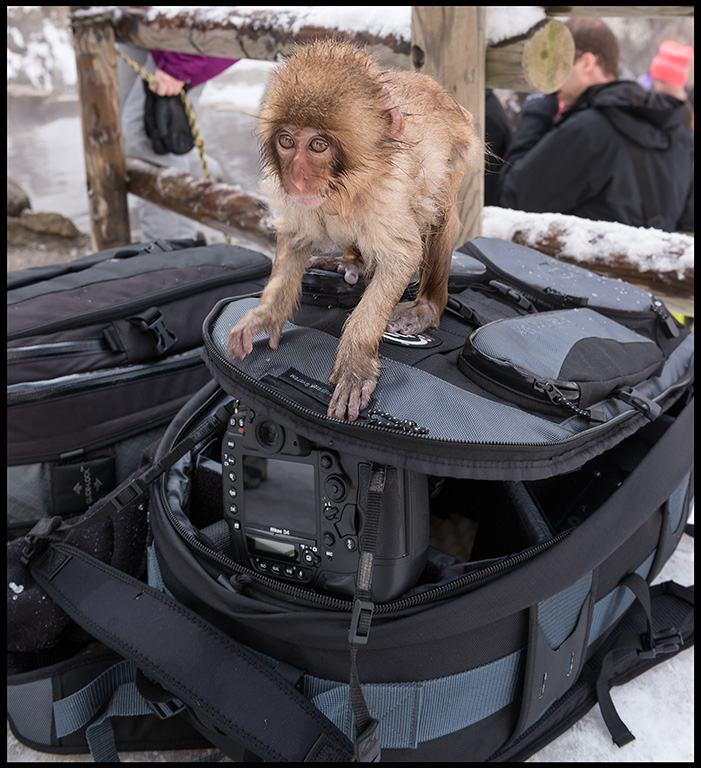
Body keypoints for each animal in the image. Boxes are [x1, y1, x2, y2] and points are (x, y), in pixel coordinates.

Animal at [230, 40, 482, 420]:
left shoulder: (387, 194)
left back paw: (427, 306)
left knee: (440, 212)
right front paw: (267, 313)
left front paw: (355, 359)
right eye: (287, 141)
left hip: (458, 151)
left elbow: (401, 256)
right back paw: (353, 262)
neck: (343, 189)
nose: (297, 178)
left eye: (318, 145)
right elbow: (296, 238)